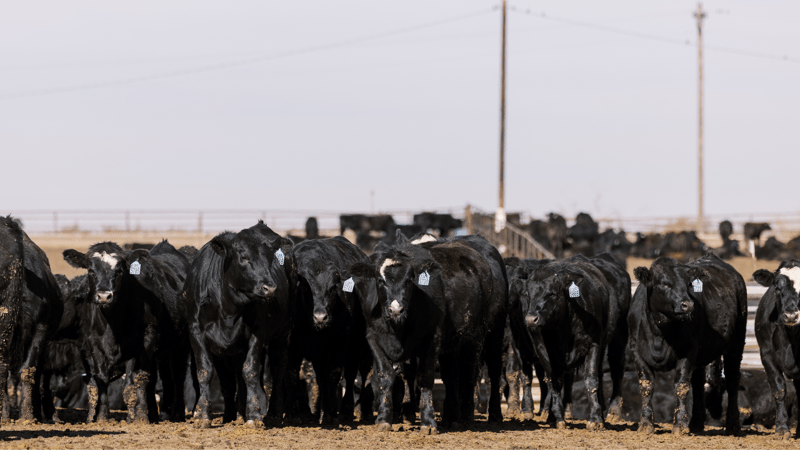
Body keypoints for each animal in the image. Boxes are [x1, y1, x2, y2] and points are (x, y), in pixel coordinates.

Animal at [183, 221, 294, 429]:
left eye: (270, 258)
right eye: (244, 258)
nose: (270, 288)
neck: (228, 307)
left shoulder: (257, 333)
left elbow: (249, 371)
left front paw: (254, 416)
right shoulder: (197, 333)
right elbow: (205, 371)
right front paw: (202, 415)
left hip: (282, 334)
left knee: (277, 370)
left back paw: (273, 414)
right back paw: (234, 415)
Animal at [286, 236, 370, 426]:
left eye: (333, 287)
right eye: (306, 288)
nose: (320, 317)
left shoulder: (340, 339)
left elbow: (334, 373)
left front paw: (331, 413)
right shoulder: (292, 342)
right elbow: (294, 374)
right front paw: (298, 413)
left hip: (355, 344)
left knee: (350, 373)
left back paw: (345, 410)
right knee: (321, 378)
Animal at [343, 236, 494, 434]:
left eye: (409, 280)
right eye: (380, 281)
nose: (396, 309)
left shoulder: (432, 340)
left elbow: (425, 378)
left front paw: (428, 422)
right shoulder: (374, 338)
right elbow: (385, 376)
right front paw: (383, 419)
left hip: (476, 336)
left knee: (469, 373)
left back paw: (466, 417)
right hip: (452, 346)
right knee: (451, 376)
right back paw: (451, 418)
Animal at [520, 253, 629, 430]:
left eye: (552, 293)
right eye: (528, 294)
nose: (530, 319)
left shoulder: (593, 344)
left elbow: (591, 380)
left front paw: (595, 420)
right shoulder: (546, 350)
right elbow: (555, 380)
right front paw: (557, 418)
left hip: (618, 334)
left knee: (615, 369)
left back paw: (612, 412)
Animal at [630, 253, 746, 435]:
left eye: (688, 284)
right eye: (664, 283)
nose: (688, 304)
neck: (660, 332)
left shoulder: (688, 351)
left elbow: (681, 385)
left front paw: (679, 425)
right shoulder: (637, 352)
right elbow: (646, 386)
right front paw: (646, 424)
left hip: (736, 345)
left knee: (732, 379)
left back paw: (733, 426)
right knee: (698, 383)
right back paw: (696, 424)